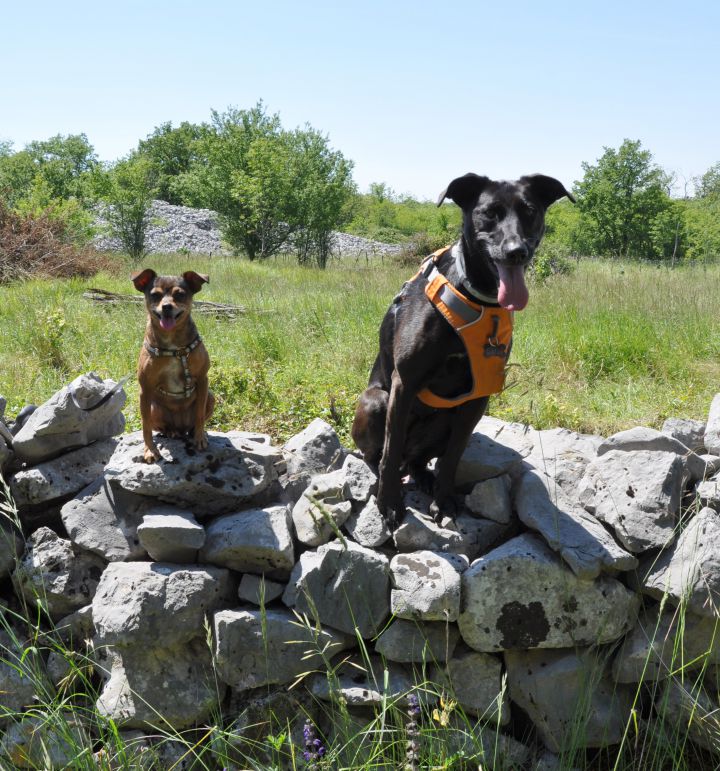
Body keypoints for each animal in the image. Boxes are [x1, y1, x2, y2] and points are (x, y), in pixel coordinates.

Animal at [131, 270, 214, 462]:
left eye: (180, 294)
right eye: (155, 295)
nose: (167, 307)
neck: (173, 345)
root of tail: (180, 427)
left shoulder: (203, 380)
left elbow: (199, 415)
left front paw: (200, 438)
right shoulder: (144, 389)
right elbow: (145, 425)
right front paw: (150, 450)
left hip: (211, 397)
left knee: (194, 422)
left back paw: (193, 433)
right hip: (153, 406)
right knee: (162, 427)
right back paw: (170, 432)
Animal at [352, 174, 572, 524]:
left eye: (530, 212)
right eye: (490, 213)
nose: (516, 252)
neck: (478, 298)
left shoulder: (478, 396)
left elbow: (453, 456)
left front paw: (443, 499)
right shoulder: (404, 383)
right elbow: (390, 448)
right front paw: (389, 502)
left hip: (444, 420)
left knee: (417, 460)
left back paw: (425, 477)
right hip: (376, 400)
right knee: (381, 455)